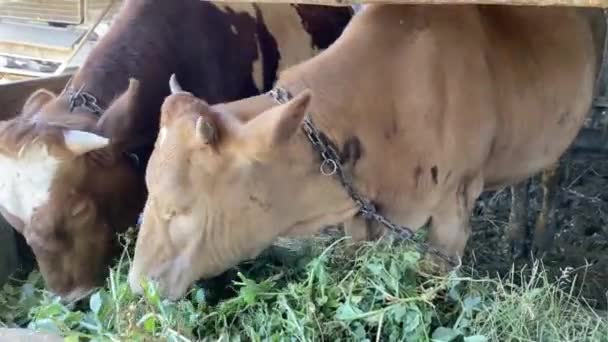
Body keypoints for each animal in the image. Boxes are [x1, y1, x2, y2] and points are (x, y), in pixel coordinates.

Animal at [126, 3, 600, 300]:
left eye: (181, 210)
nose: (136, 286)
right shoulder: (363, 212)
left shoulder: (454, 204)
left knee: (552, 171)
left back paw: (538, 239)